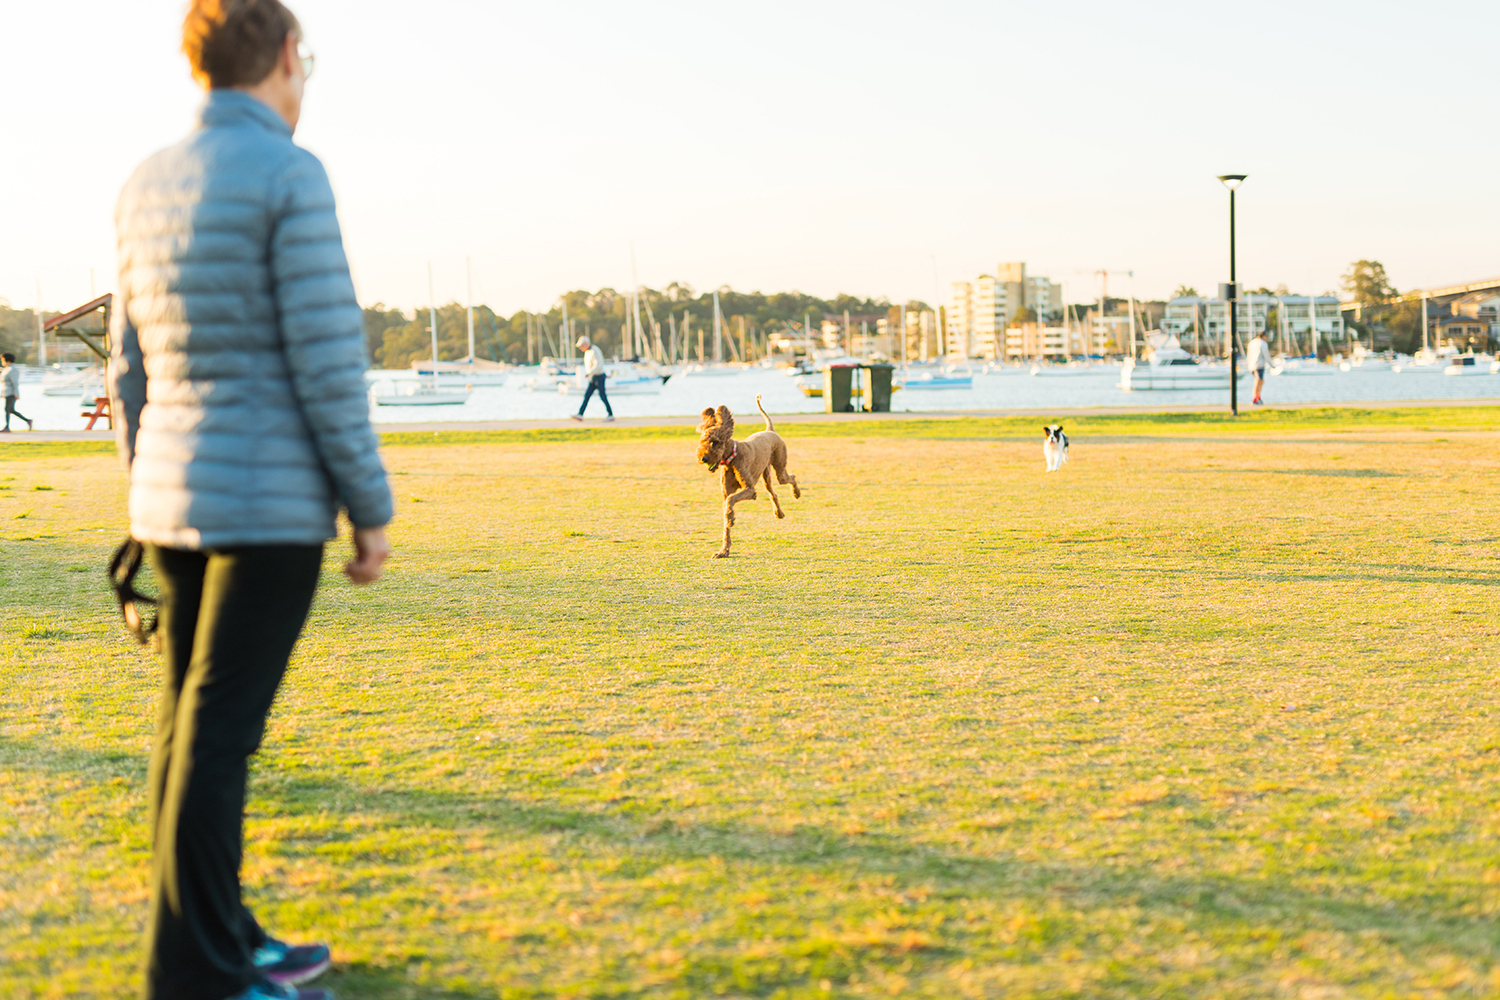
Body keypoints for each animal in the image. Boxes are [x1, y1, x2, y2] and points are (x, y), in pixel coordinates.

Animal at [696, 395, 804, 560]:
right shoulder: (727, 492)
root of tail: (769, 430)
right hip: (766, 476)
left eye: (715, 442)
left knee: (790, 477)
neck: (732, 458)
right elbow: (726, 513)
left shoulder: (749, 490)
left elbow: (730, 501)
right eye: (702, 441)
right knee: (773, 494)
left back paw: (796, 493)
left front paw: (731, 517)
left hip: (779, 469)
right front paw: (724, 551)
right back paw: (779, 513)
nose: (703, 458)